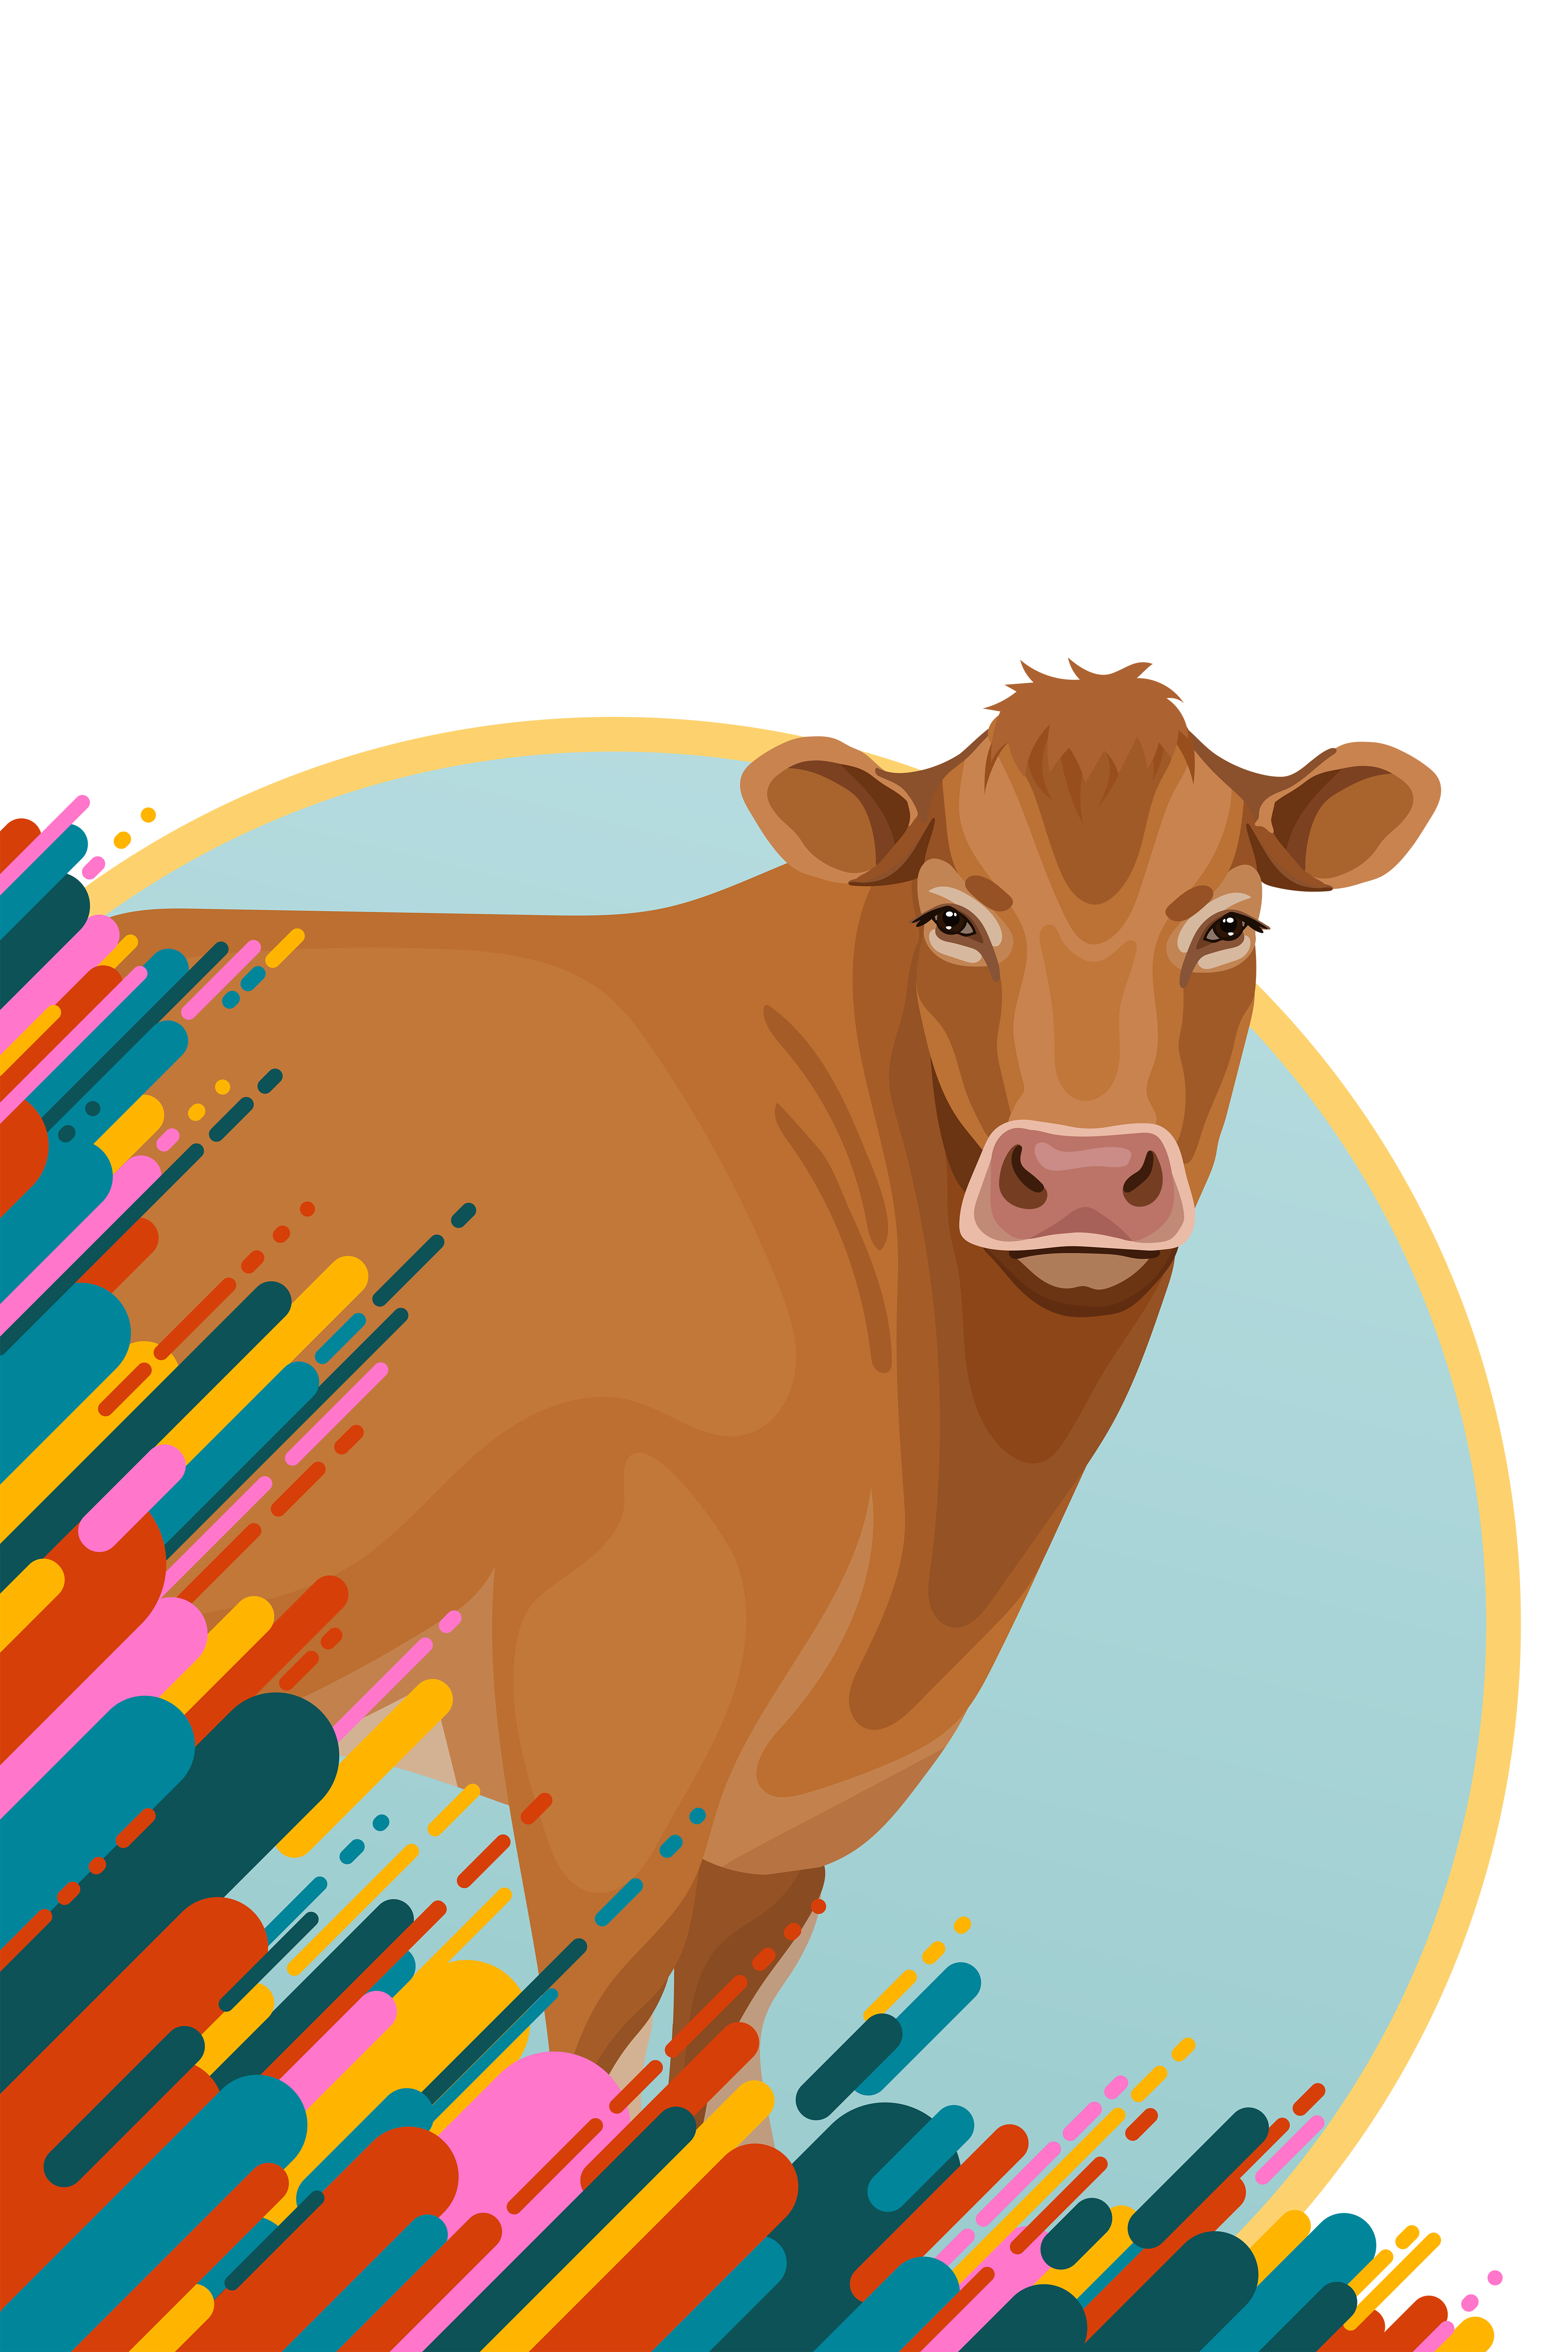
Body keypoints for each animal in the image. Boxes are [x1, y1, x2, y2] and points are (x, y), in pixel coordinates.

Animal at [118, 657, 1485, 2099]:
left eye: (1231, 926)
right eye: (951, 916)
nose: (1082, 1177)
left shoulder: (781, 1827)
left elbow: (714, 2084)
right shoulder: (616, 1737)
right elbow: (587, 2070)